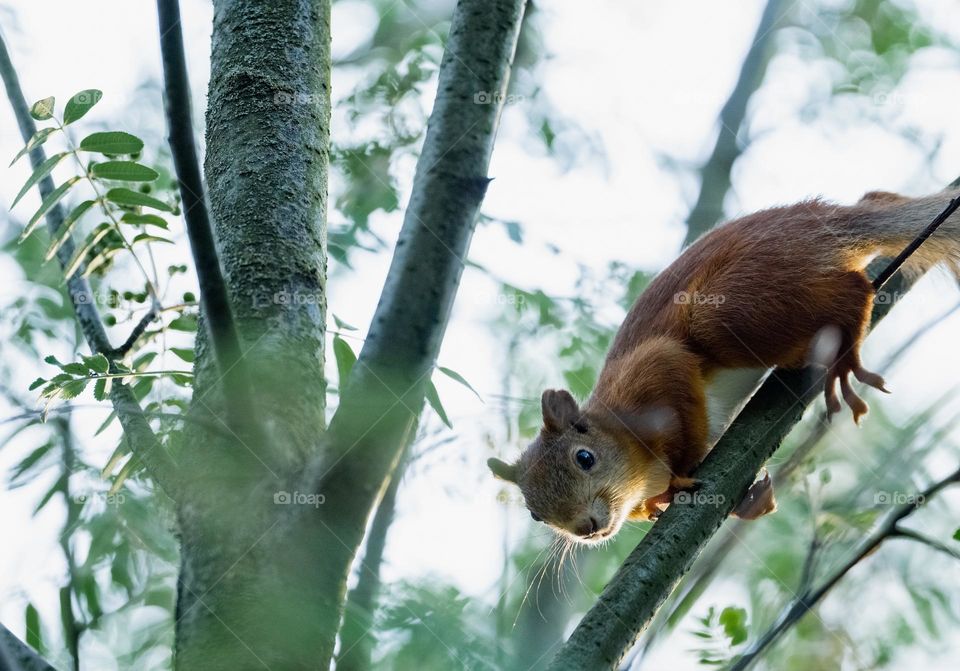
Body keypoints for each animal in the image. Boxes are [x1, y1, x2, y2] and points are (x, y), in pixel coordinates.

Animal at [488, 186, 960, 544]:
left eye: (584, 458)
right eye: (534, 513)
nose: (586, 529)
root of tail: (823, 223)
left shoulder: (653, 370)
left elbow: (686, 411)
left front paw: (679, 478)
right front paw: (743, 500)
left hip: (730, 308)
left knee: (853, 287)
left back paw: (844, 353)